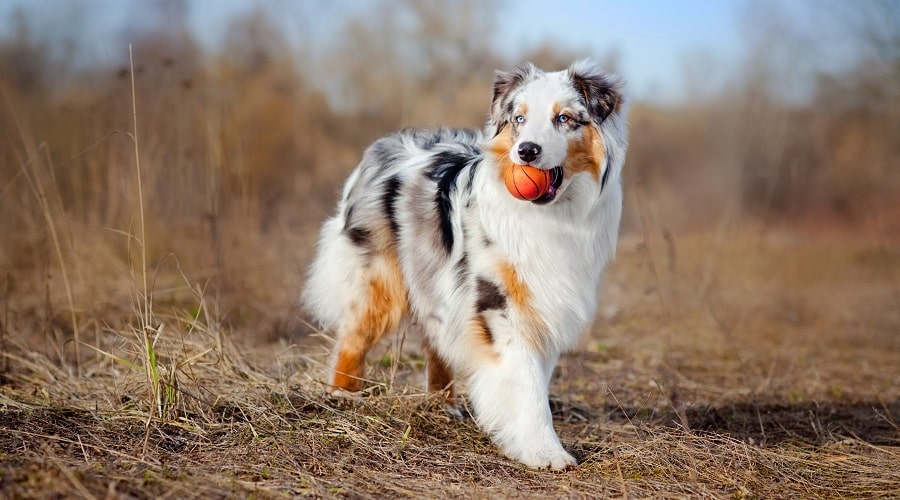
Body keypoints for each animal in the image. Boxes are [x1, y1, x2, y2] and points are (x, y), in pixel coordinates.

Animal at [302, 59, 624, 468]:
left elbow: (534, 378)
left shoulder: (544, 304)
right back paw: (342, 395)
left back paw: (444, 405)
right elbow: (527, 385)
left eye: (564, 118)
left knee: (436, 340)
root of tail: (383, 146)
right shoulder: (499, 305)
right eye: (519, 119)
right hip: (380, 279)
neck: (551, 216)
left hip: (436, 282)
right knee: (354, 336)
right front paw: (545, 451)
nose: (526, 151)